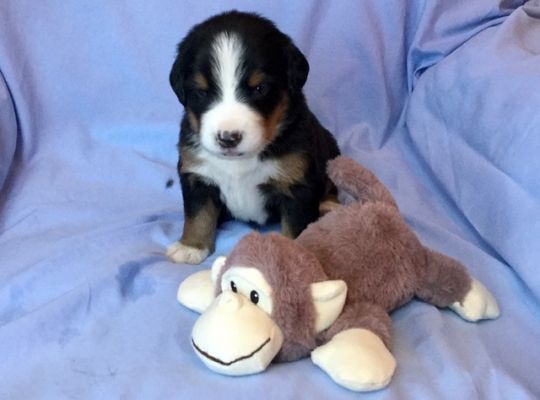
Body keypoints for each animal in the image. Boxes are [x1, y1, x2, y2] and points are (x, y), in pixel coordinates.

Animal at [167, 10, 340, 264]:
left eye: (260, 89)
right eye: (201, 91)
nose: (228, 137)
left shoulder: (298, 186)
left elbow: (296, 229)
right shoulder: (197, 176)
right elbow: (198, 214)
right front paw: (191, 246)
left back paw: (329, 206)